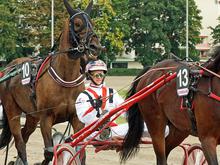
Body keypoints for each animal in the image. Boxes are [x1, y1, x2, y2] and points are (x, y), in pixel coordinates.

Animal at [0, 0, 101, 164]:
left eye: (92, 23)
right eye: (77, 23)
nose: (95, 46)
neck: (66, 78)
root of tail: (9, 67)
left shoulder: (76, 118)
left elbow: (80, 151)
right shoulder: (46, 119)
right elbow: (48, 152)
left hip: (32, 116)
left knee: (24, 134)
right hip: (12, 111)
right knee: (20, 142)